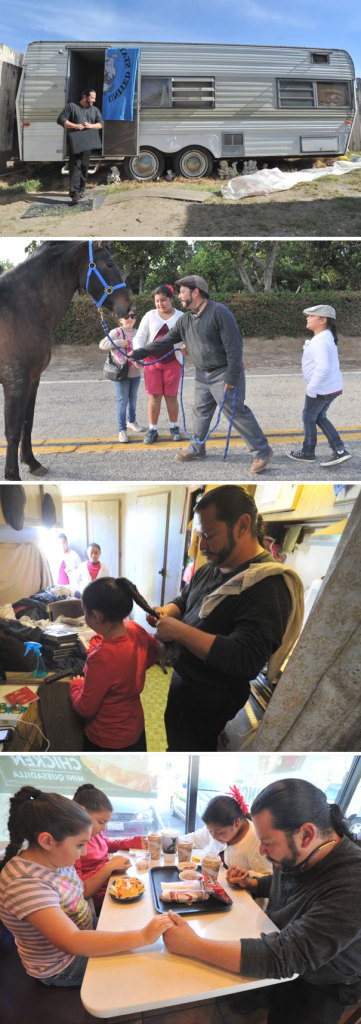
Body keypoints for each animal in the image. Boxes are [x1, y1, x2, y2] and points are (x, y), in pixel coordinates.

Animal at [0, 239, 129, 479]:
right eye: (109, 264)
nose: (127, 307)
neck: (19, 308)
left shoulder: (33, 379)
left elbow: (27, 422)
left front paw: (32, 462)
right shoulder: (15, 381)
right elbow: (12, 429)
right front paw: (12, 475)